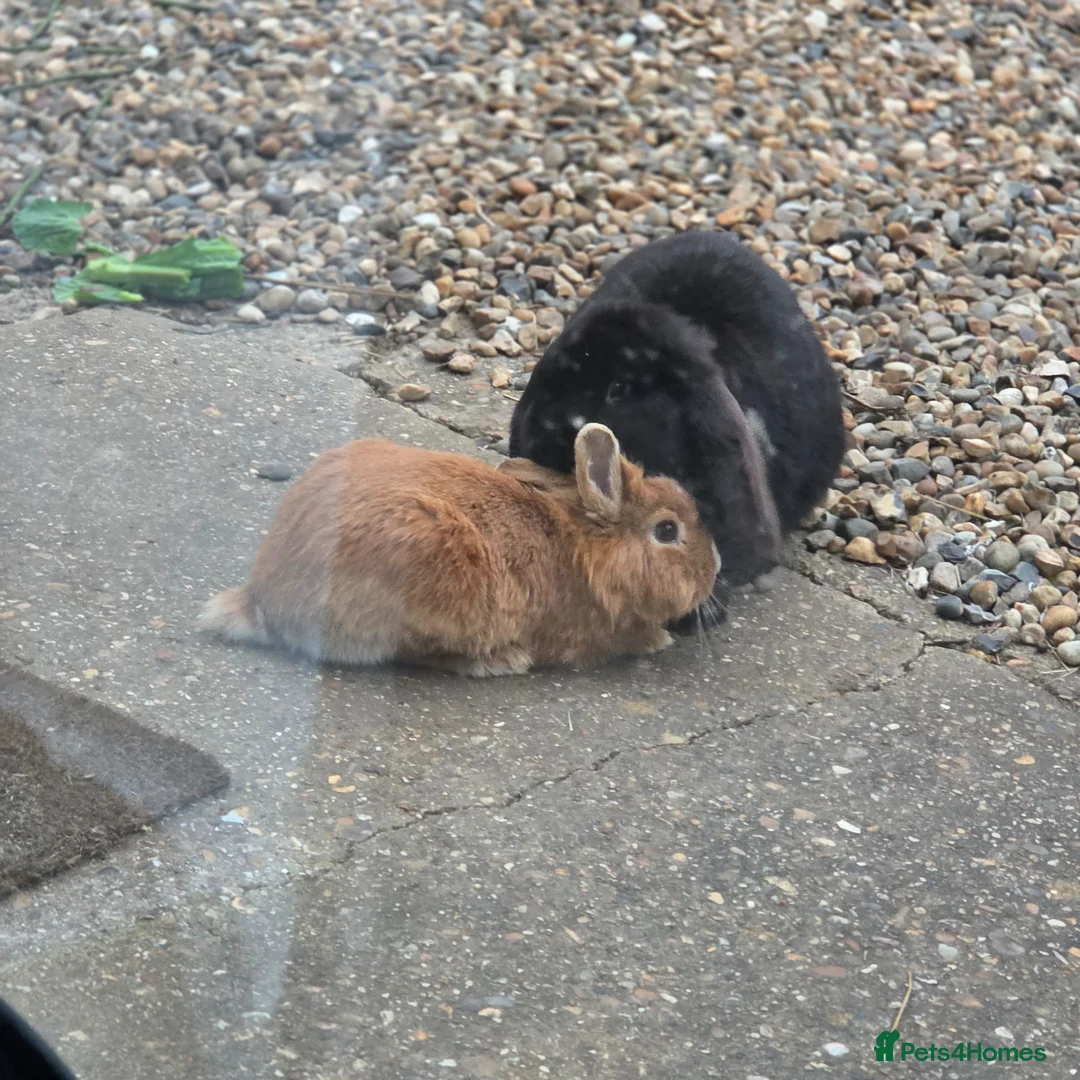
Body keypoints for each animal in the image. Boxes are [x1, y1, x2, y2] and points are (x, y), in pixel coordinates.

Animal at [198, 423, 719, 676]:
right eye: (667, 530)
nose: (715, 567)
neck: (588, 549)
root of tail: (264, 603)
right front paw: (657, 640)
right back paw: (499, 663)